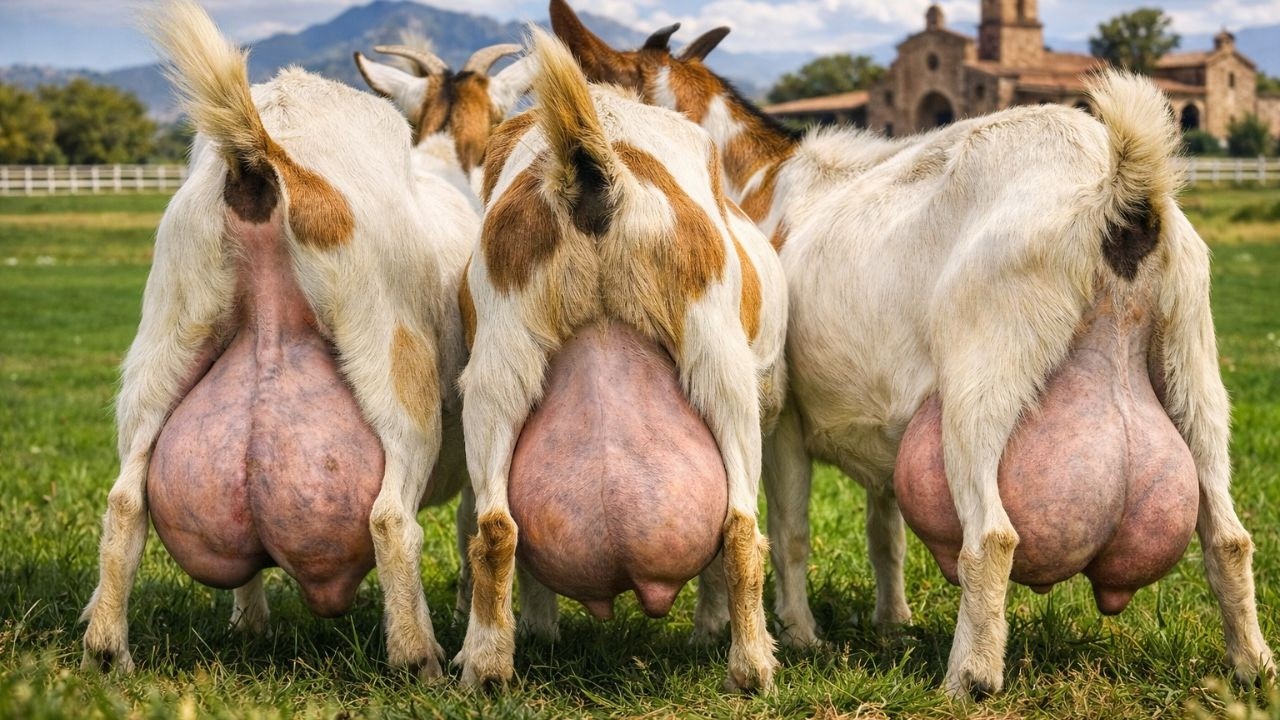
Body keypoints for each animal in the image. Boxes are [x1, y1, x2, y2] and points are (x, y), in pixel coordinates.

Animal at [80, 0, 475, 680]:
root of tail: (264, 152)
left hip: (165, 336)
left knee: (127, 502)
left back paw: (111, 648)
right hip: (396, 362)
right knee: (391, 517)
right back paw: (418, 658)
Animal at [452, 27, 788, 692]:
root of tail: (593, 171)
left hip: (497, 363)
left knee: (498, 527)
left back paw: (486, 666)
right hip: (722, 364)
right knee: (739, 526)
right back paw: (753, 667)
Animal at [550, 0, 1275, 697]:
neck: (755, 181)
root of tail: (1119, 187)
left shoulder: (780, 415)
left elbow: (786, 531)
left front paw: (791, 635)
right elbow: (885, 531)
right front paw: (891, 622)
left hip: (986, 376)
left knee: (992, 535)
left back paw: (969, 677)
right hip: (1193, 364)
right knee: (1227, 535)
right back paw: (1252, 666)